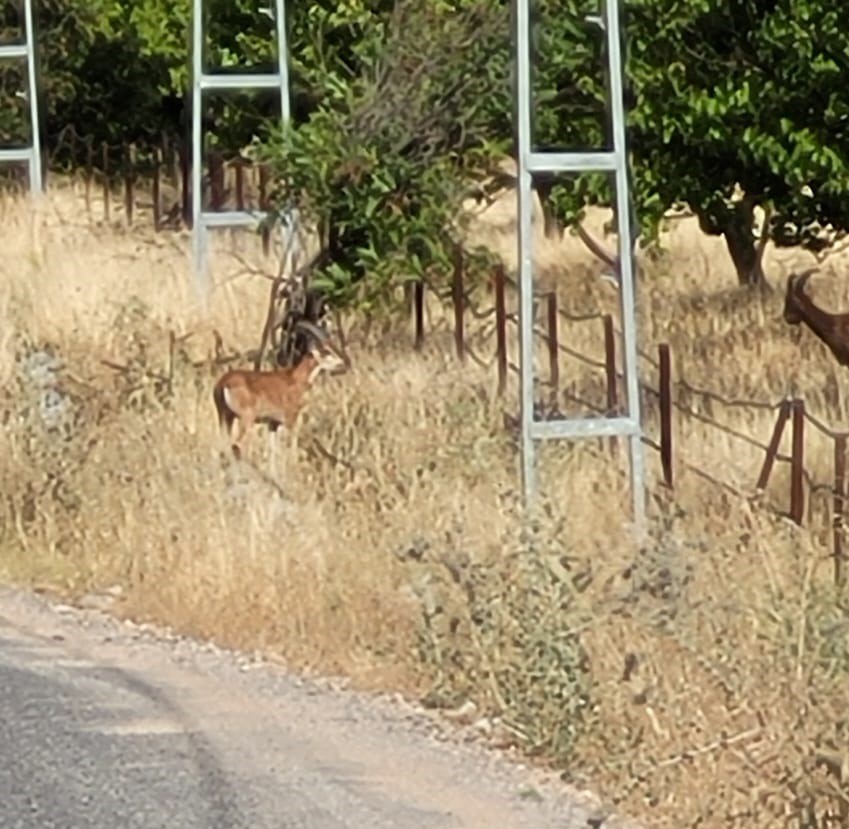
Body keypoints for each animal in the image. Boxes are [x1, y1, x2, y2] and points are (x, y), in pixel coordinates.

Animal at [214, 320, 350, 460]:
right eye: (326, 351)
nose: (345, 363)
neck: (295, 378)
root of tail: (224, 383)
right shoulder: (291, 421)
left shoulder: (273, 425)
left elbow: (272, 452)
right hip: (246, 419)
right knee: (236, 445)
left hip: (225, 417)